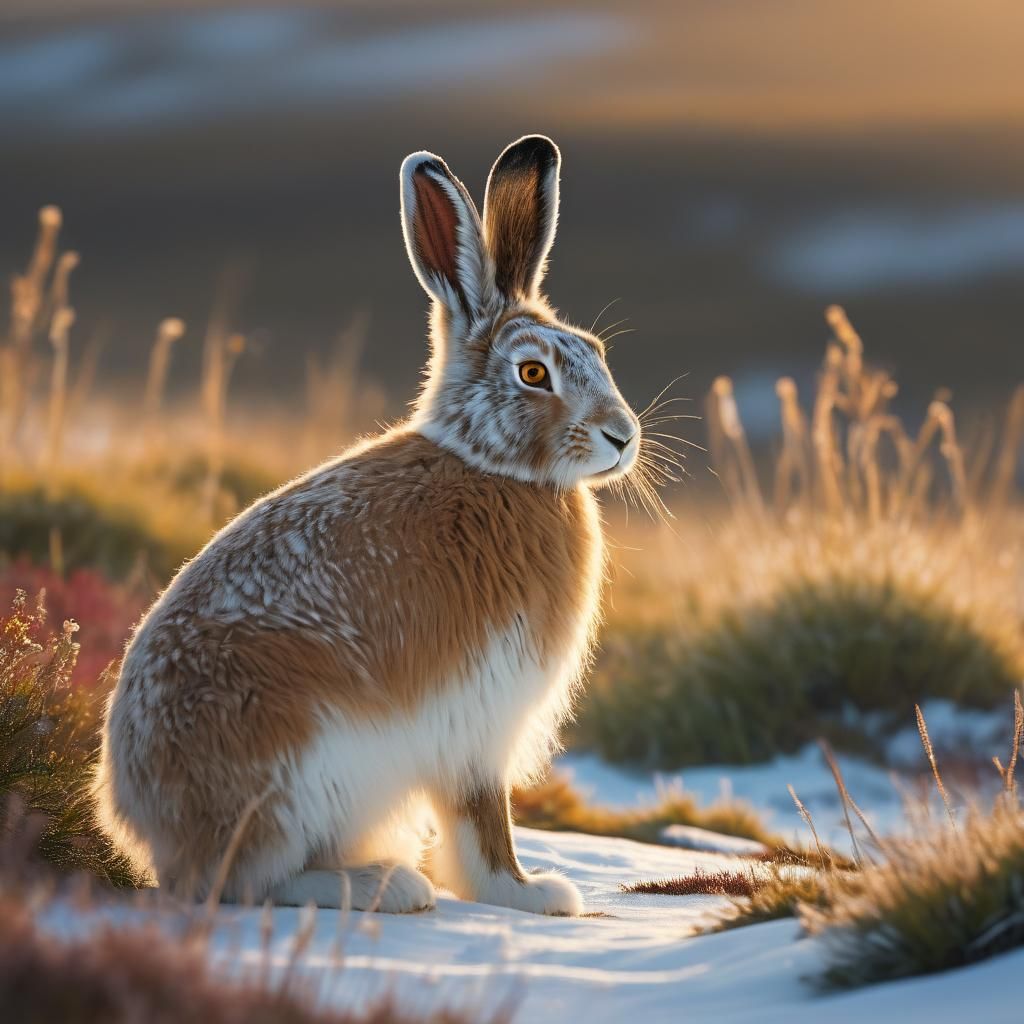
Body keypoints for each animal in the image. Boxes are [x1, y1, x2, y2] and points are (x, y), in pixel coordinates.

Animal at [95, 135, 641, 917]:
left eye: (595, 351)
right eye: (534, 373)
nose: (623, 437)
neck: (494, 467)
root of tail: (155, 835)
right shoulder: (478, 721)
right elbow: (483, 823)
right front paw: (533, 896)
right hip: (302, 770)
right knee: (248, 880)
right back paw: (387, 885)